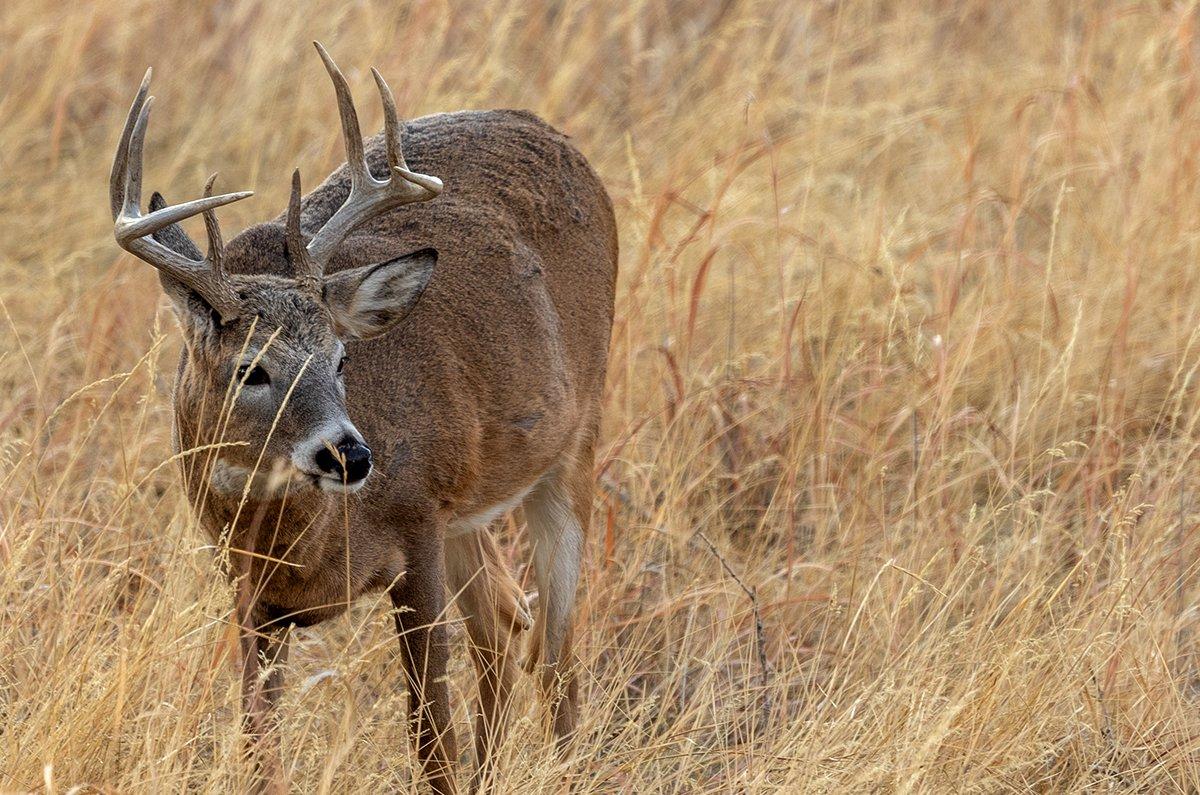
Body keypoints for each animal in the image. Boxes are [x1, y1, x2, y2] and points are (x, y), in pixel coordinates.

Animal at [108, 42, 614, 792]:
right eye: (250, 369)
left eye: (342, 357)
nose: (350, 454)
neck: (308, 543)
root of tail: (553, 133)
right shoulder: (248, 592)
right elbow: (258, 750)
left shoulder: (420, 525)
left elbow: (433, 742)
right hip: (471, 499)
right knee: (504, 620)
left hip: (575, 440)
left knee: (556, 654)